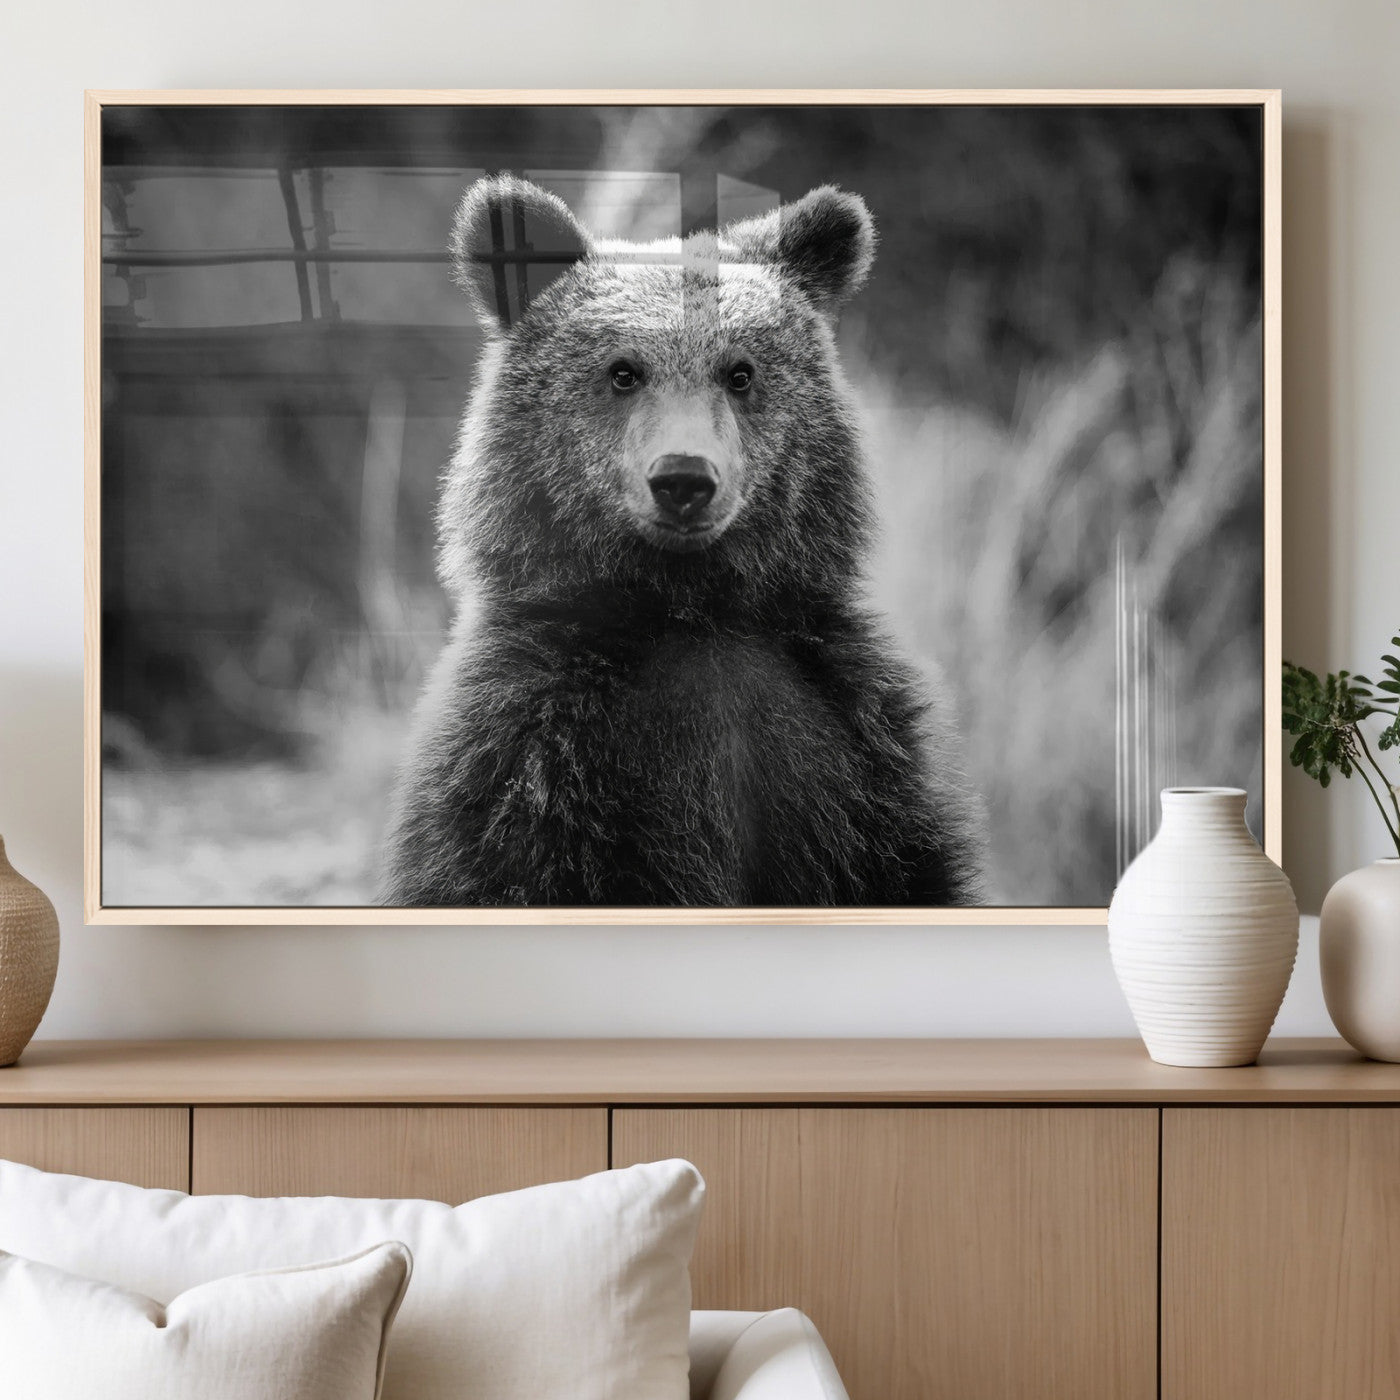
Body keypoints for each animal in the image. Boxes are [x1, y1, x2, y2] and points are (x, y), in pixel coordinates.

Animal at [380, 175, 984, 907]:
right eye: (623, 371)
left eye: (740, 371)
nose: (684, 478)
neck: (691, 608)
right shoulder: (526, 757)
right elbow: (496, 868)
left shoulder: (858, 747)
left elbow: (909, 868)